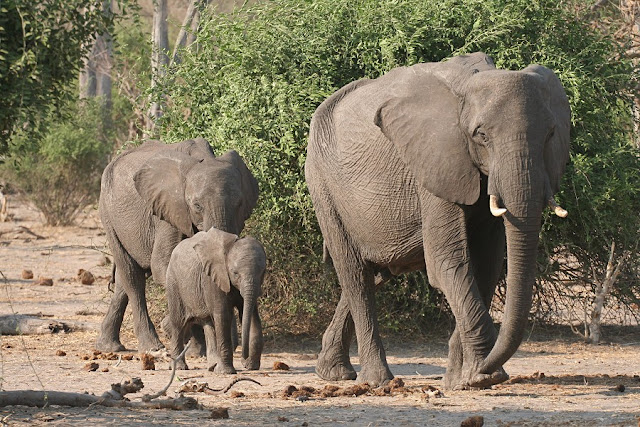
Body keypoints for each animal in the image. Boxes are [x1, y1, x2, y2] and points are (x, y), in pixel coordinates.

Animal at [96, 139, 258, 352]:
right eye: (197, 205)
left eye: (239, 203)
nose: (235, 345)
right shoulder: (168, 210)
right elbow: (163, 265)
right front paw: (185, 337)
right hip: (108, 215)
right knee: (132, 277)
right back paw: (152, 346)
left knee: (124, 281)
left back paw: (109, 347)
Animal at [165, 229, 268, 372]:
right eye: (235, 273)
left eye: (263, 272)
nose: (244, 359)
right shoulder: (213, 278)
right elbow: (223, 316)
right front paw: (227, 372)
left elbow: (252, 315)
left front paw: (252, 366)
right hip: (174, 283)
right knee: (178, 323)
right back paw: (180, 367)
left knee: (208, 322)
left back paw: (212, 366)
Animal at [304, 51, 568, 390]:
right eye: (481, 136)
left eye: (550, 135)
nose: (484, 370)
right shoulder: (434, 162)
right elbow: (447, 263)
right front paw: (484, 375)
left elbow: (488, 263)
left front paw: (462, 379)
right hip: (323, 186)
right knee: (355, 274)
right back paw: (378, 381)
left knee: (376, 273)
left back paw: (332, 373)